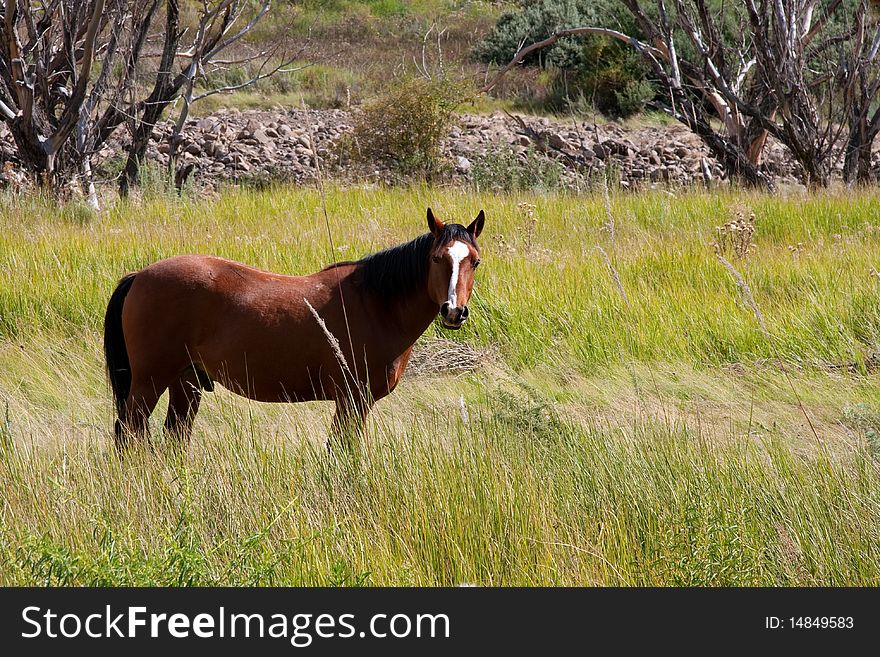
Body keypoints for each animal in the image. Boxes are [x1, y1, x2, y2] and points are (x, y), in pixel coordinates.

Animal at [107, 208, 488, 448]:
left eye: (475, 261)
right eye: (437, 258)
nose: (454, 311)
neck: (375, 303)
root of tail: (139, 276)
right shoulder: (352, 399)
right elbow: (342, 451)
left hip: (186, 382)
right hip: (149, 382)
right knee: (129, 434)